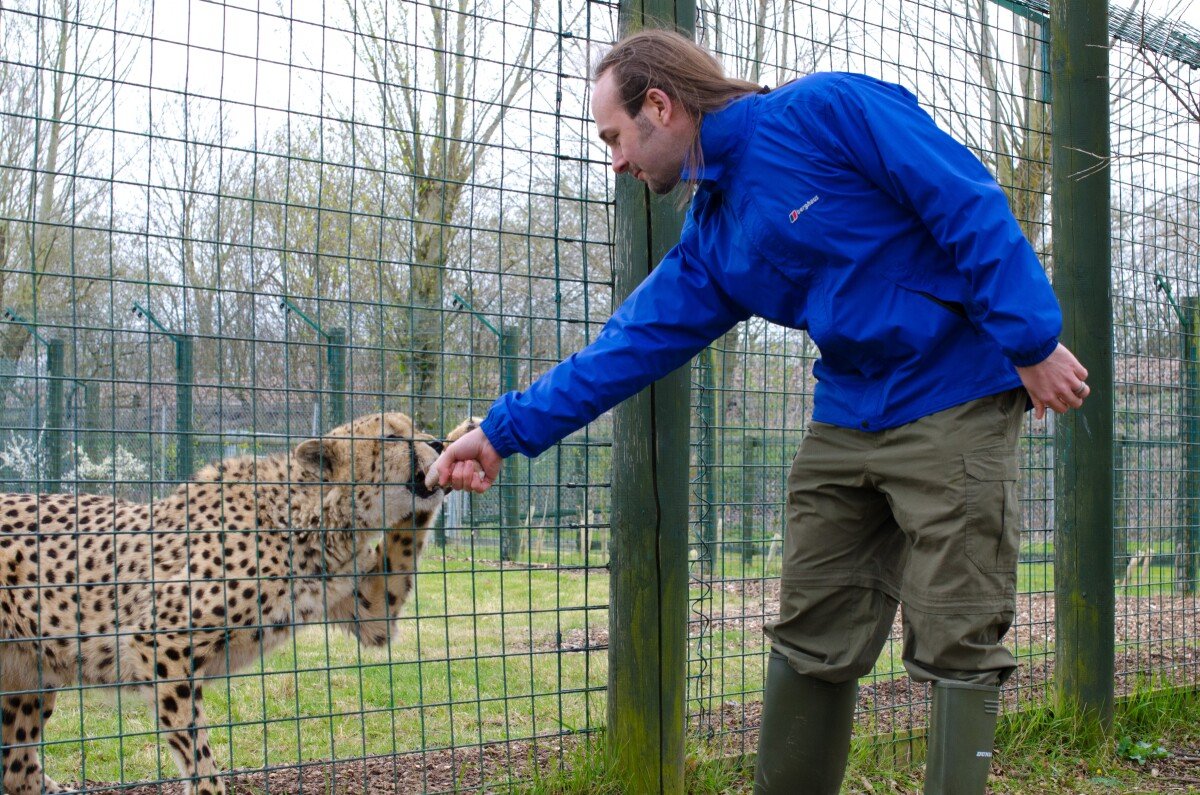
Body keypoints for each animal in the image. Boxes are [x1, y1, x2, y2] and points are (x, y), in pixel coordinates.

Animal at [0, 411, 477, 795]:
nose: (436, 445)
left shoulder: (369, 609)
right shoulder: (160, 643)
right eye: (391, 437)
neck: (313, 516)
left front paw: (464, 439)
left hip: (26, 682)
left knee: (16, 767)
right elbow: (196, 747)